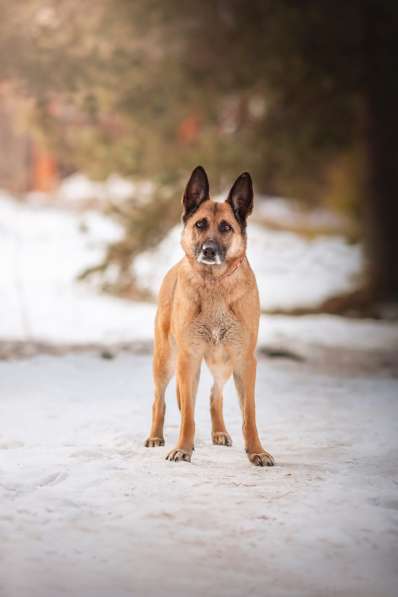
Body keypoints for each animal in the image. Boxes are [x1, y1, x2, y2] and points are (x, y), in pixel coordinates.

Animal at [145, 164, 274, 466]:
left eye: (226, 227)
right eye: (200, 224)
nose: (209, 250)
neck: (214, 285)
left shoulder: (244, 361)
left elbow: (249, 414)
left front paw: (257, 451)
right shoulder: (188, 359)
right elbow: (188, 416)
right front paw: (183, 448)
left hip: (223, 363)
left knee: (216, 396)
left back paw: (220, 432)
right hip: (166, 361)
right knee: (160, 401)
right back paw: (156, 435)